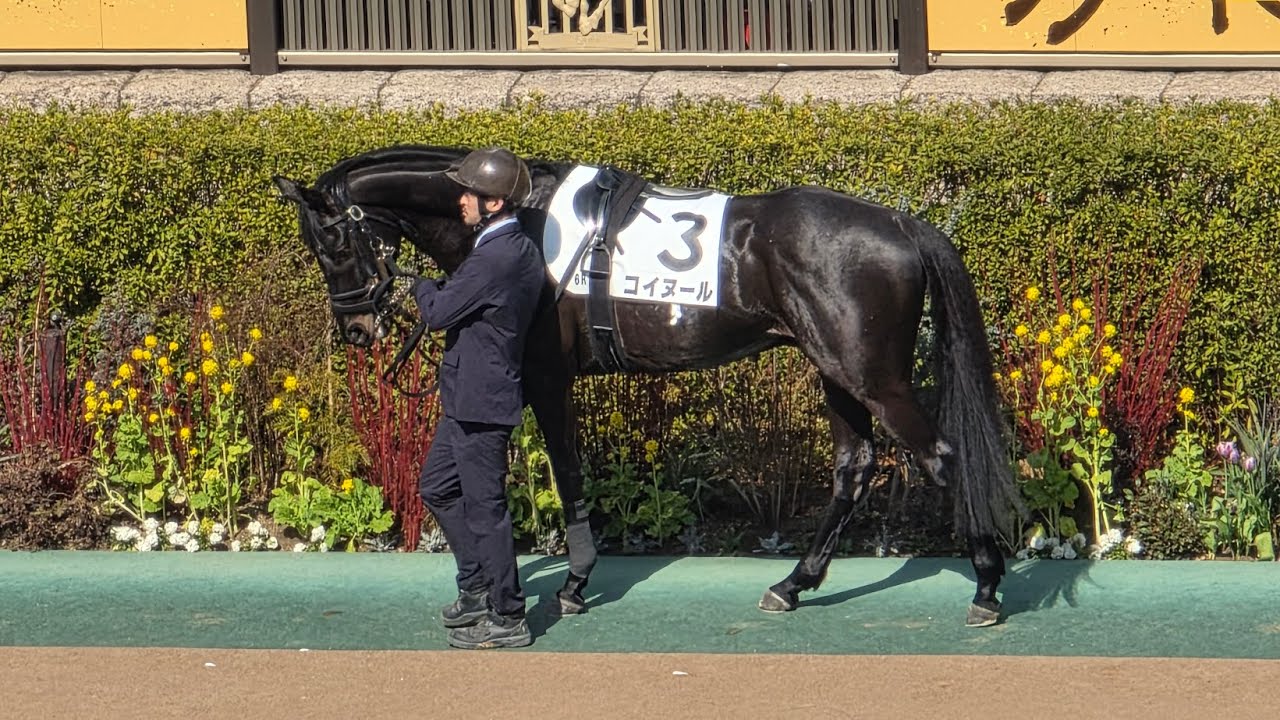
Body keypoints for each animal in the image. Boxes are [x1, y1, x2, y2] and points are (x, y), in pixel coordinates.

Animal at [272, 144, 1023, 628]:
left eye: (330, 243)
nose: (358, 329)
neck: (525, 219)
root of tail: (902, 222)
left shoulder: (543, 373)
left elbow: (568, 471)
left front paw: (574, 584)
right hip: (835, 371)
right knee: (855, 468)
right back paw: (793, 585)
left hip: (871, 376)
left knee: (942, 458)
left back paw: (987, 586)